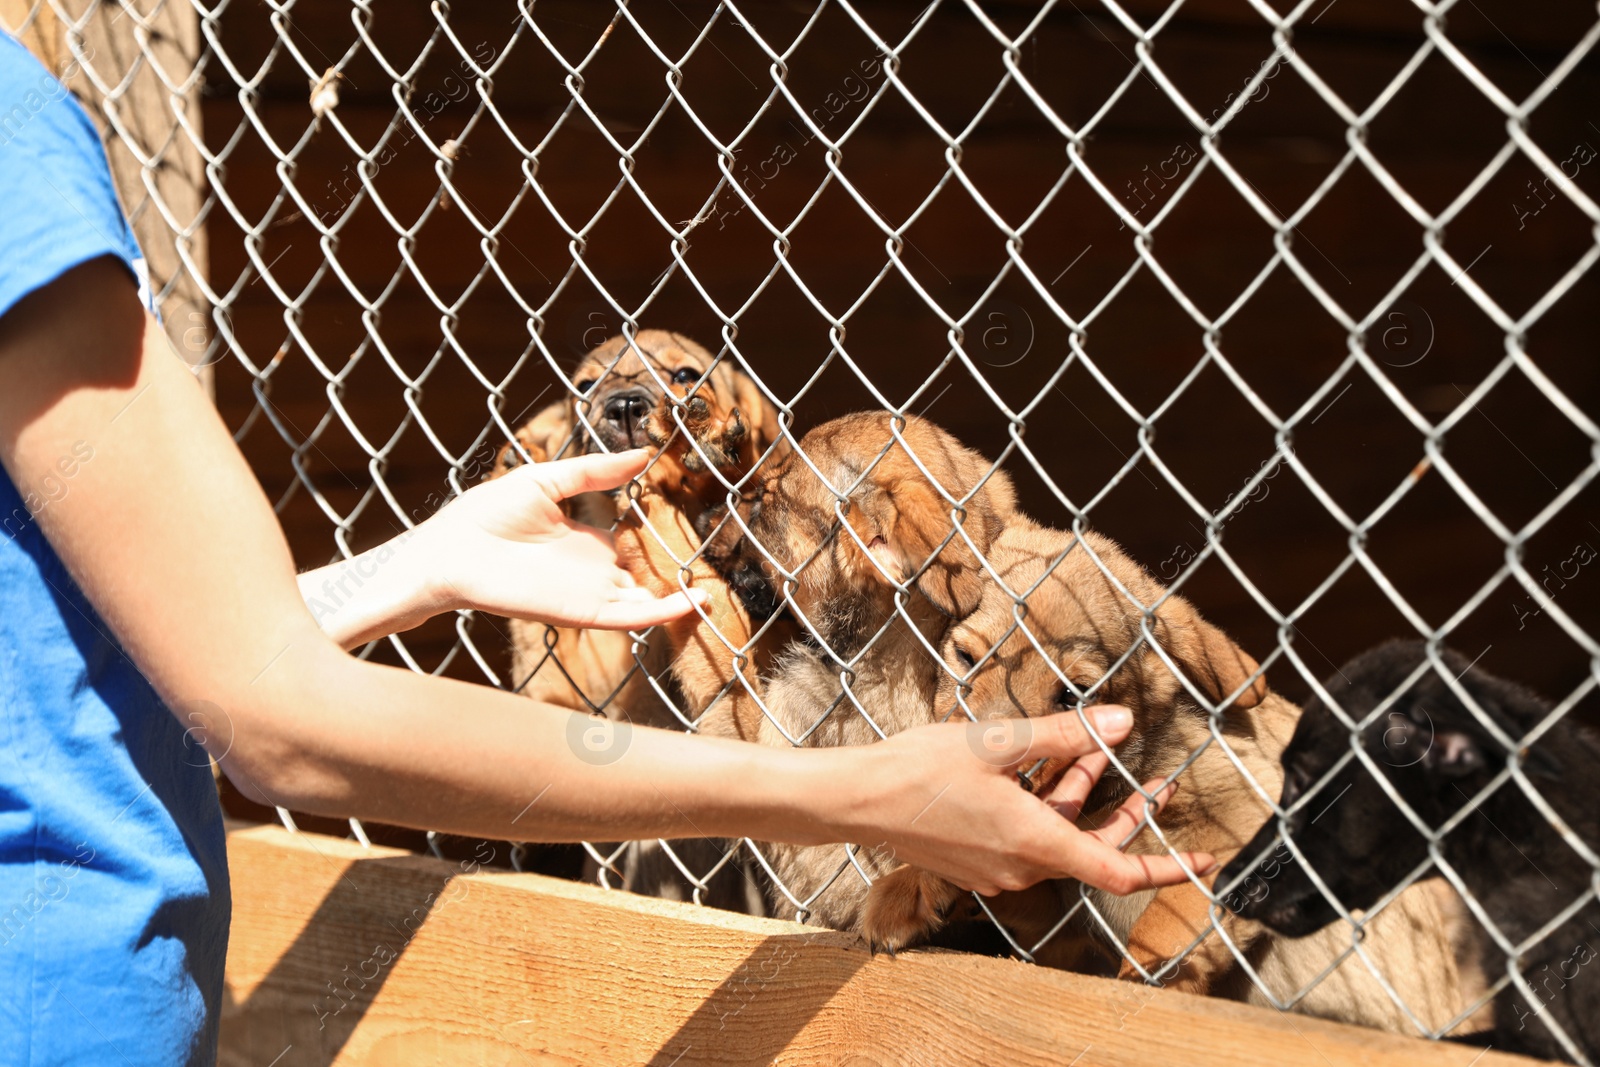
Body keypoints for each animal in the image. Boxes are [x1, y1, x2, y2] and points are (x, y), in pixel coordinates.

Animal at [870, 524, 1465, 1036]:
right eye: (965, 656)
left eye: (1074, 696)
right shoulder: (1062, 933)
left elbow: (1167, 914)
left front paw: (1146, 985)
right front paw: (918, 880)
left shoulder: (1256, 820)